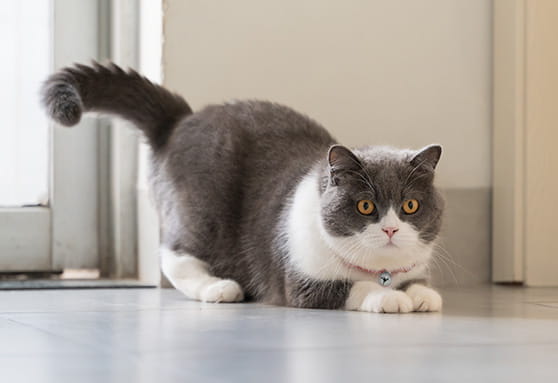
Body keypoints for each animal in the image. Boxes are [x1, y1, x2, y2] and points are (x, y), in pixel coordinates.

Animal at [41, 63, 446, 314]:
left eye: (410, 206)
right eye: (365, 207)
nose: (391, 229)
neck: (379, 269)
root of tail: (181, 120)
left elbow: (416, 284)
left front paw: (421, 294)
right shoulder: (301, 283)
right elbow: (351, 288)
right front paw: (387, 298)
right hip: (202, 213)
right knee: (173, 253)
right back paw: (219, 288)